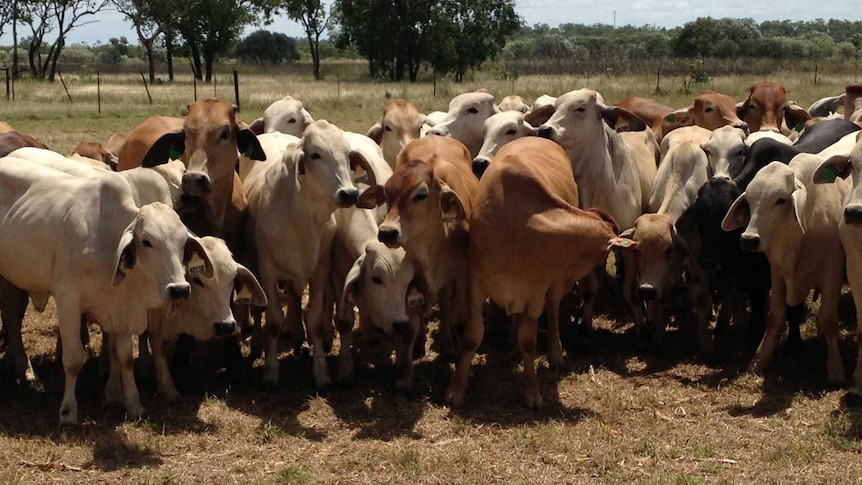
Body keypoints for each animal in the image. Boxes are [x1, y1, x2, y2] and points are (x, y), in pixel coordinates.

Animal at [448, 137, 632, 408]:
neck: (518, 226)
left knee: (553, 310)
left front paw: (532, 392)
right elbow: (472, 336)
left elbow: (530, 341)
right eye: (603, 254)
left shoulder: (535, 291)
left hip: (552, 287)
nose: (601, 278)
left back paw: (554, 353)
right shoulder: (476, 284)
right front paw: (457, 390)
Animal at [724, 154, 852, 382]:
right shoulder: (777, 272)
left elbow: (828, 319)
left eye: (780, 200)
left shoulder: (833, 272)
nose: (748, 240)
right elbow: (775, 315)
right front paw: (759, 361)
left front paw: (836, 369)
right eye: (750, 200)